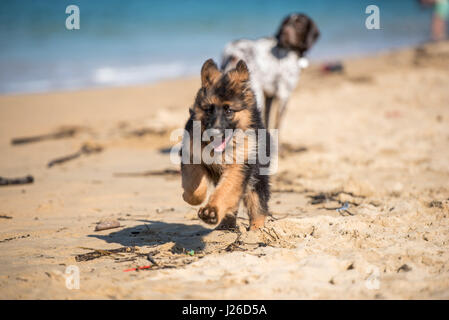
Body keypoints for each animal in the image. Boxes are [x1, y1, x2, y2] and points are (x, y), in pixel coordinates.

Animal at [178, 58, 270, 230]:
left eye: (229, 111)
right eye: (209, 110)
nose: (213, 133)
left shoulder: (239, 166)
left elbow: (226, 189)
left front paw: (211, 212)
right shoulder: (191, 155)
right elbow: (193, 184)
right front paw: (191, 197)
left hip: (257, 178)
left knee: (258, 206)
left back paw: (256, 230)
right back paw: (226, 225)